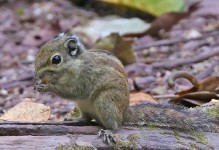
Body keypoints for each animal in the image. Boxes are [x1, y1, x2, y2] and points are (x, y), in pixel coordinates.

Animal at [33, 33, 219, 133]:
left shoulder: (82, 78)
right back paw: (75, 120)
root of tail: (124, 113)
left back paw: (110, 132)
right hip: (84, 106)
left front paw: (46, 86)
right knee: (86, 118)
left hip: (106, 101)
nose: (36, 74)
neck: (75, 63)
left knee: (114, 124)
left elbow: (71, 91)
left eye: (56, 59)